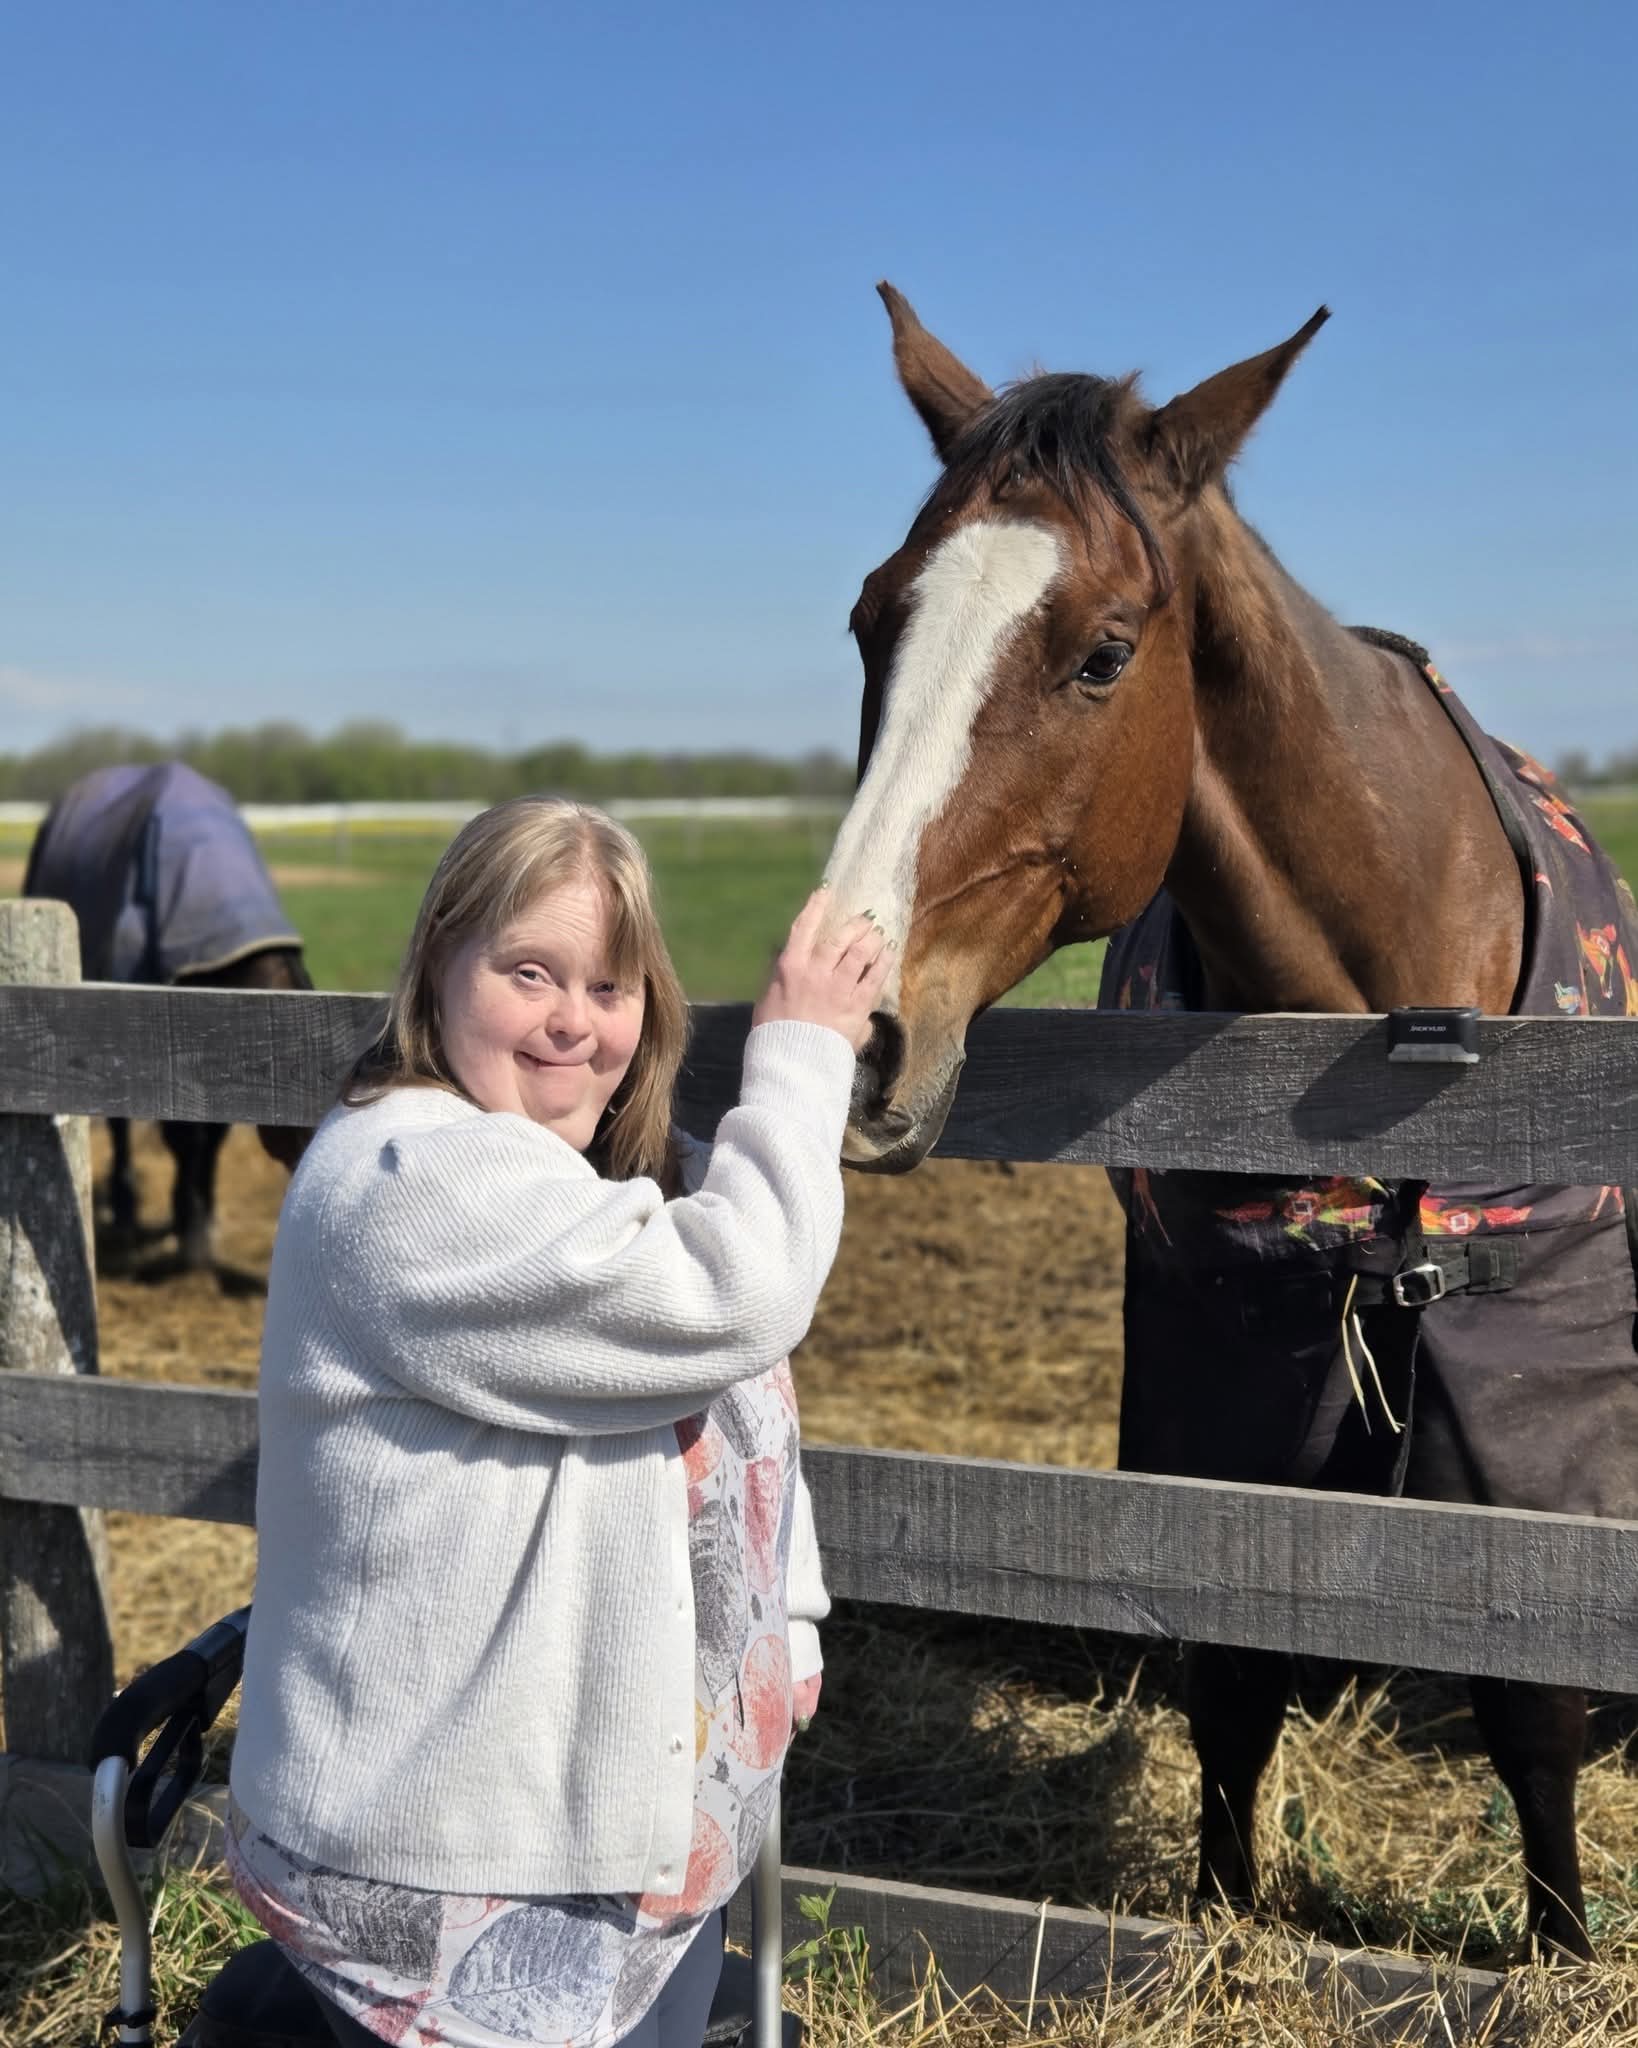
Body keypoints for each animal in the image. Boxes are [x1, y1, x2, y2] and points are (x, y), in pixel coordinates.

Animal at [24, 761, 313, 1273]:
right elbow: (185, 1137)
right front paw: (190, 1231)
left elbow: (213, 1136)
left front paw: (203, 1218)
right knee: (119, 1126)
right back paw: (125, 1207)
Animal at [819, 282, 1638, 1960]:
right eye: (873, 620)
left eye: (1100, 654)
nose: (851, 1037)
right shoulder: (1229, 1382)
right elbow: (1233, 1666)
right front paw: (1218, 1923)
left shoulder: (1529, 1416)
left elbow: (1534, 1701)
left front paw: (1559, 1955)